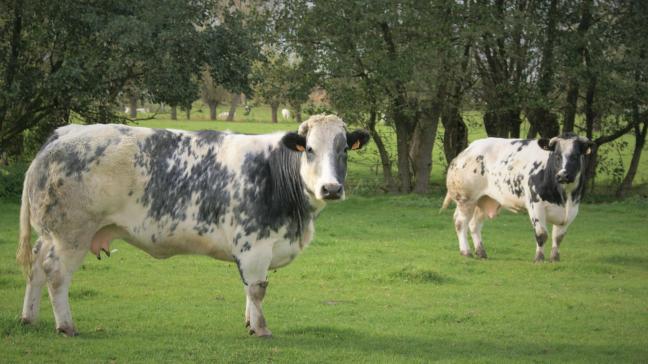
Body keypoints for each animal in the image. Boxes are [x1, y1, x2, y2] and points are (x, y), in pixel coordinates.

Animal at [16, 114, 370, 336]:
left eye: (343, 150)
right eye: (309, 149)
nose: (331, 188)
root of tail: (64, 133)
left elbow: (248, 288)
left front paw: (249, 323)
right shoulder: (254, 244)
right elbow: (257, 289)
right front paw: (261, 328)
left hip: (49, 234)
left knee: (35, 266)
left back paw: (28, 318)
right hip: (70, 234)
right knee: (56, 274)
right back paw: (66, 326)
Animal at [440, 133, 592, 262]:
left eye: (575, 155)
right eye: (556, 155)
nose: (562, 175)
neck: (563, 196)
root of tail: (468, 149)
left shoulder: (572, 210)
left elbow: (558, 237)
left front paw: (554, 258)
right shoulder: (536, 205)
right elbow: (541, 234)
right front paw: (539, 258)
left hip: (483, 200)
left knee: (474, 225)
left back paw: (481, 252)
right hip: (466, 199)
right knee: (460, 222)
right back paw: (466, 251)